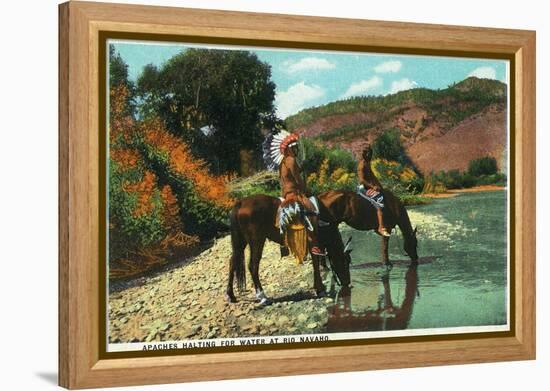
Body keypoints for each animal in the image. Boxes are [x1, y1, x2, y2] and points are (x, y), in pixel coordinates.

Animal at [226, 188, 420, 304]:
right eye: (346, 262)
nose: (347, 283)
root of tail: (241, 202)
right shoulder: (315, 244)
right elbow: (316, 261)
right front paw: (319, 288)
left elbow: (317, 260)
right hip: (256, 240)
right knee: (253, 265)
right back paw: (262, 296)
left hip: (240, 242)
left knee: (233, 262)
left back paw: (231, 295)